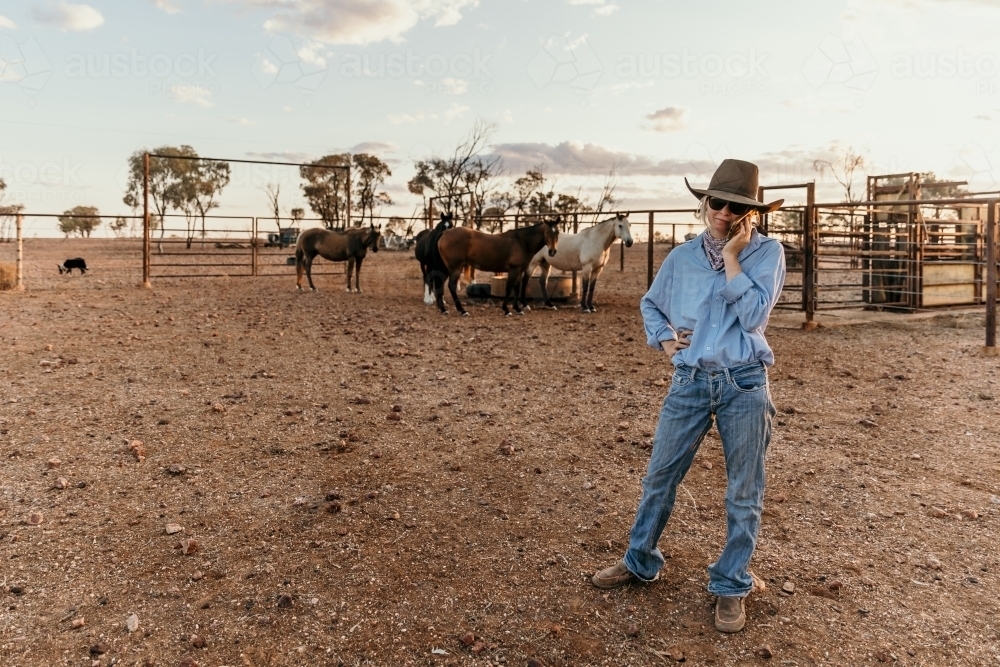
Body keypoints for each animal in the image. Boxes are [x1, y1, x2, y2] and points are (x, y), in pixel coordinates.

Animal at [426, 217, 560, 316]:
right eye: (547, 232)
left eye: (557, 232)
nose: (552, 251)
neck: (521, 242)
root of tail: (445, 233)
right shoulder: (514, 269)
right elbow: (509, 288)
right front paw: (506, 310)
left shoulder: (520, 270)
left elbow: (516, 287)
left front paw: (517, 309)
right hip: (455, 268)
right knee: (451, 286)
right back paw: (462, 311)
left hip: (446, 268)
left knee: (440, 284)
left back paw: (443, 309)